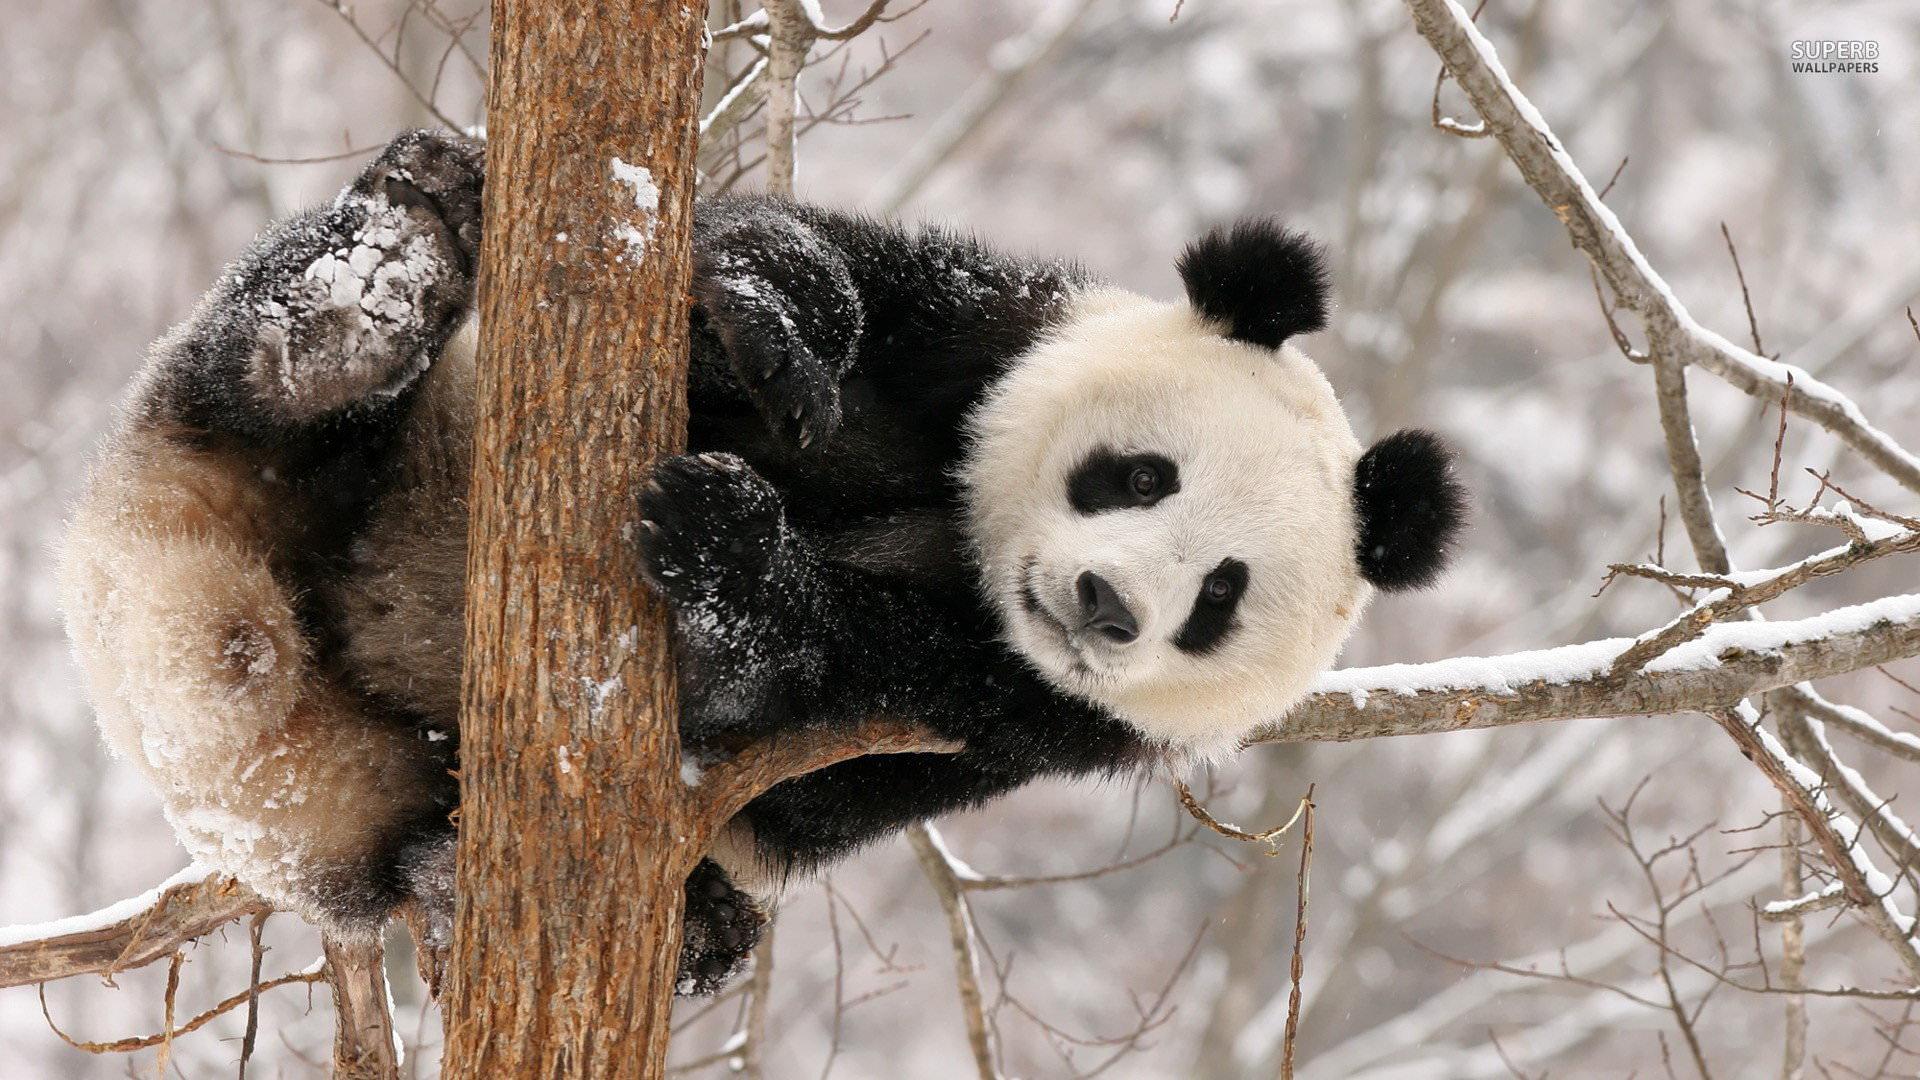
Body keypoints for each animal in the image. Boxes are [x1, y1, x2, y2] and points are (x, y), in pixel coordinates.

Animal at [57, 130, 1463, 994]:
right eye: (1137, 475)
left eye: (1220, 596)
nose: (1106, 604)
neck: (966, 546)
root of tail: (203, 650)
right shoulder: (982, 334)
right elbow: (798, 270)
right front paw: (774, 324)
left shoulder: (1029, 719)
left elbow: (804, 734)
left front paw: (729, 550)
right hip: (285, 454)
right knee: (253, 378)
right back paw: (375, 284)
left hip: (369, 780)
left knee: (416, 847)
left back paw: (541, 893)